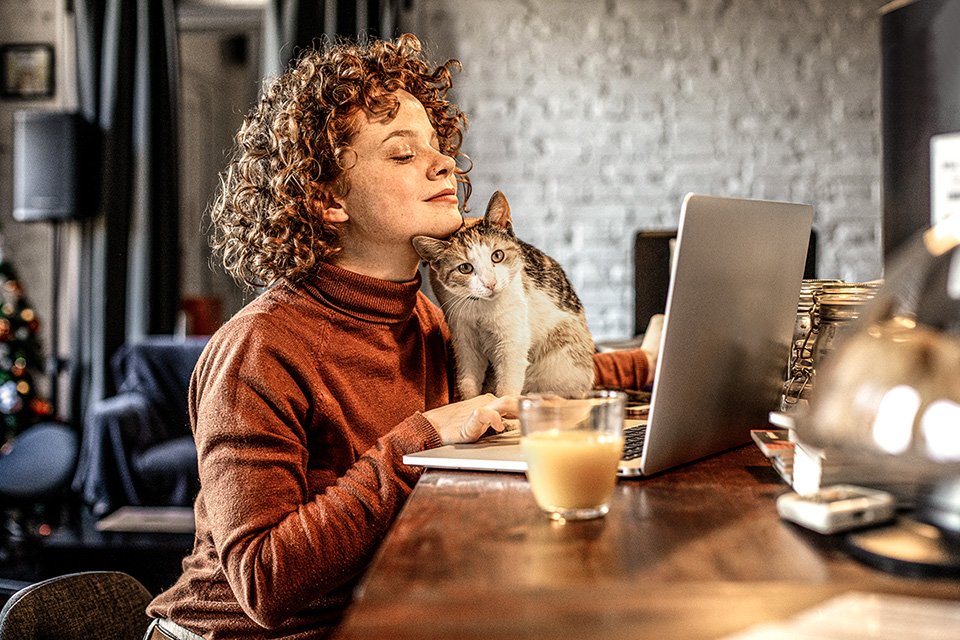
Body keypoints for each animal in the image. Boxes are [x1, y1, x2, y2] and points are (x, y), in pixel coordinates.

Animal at [410, 191, 592, 400]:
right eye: (465, 268)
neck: (481, 308)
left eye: (497, 255)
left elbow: (508, 383)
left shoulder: (512, 337)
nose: (490, 283)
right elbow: (467, 379)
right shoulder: (463, 335)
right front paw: (470, 400)